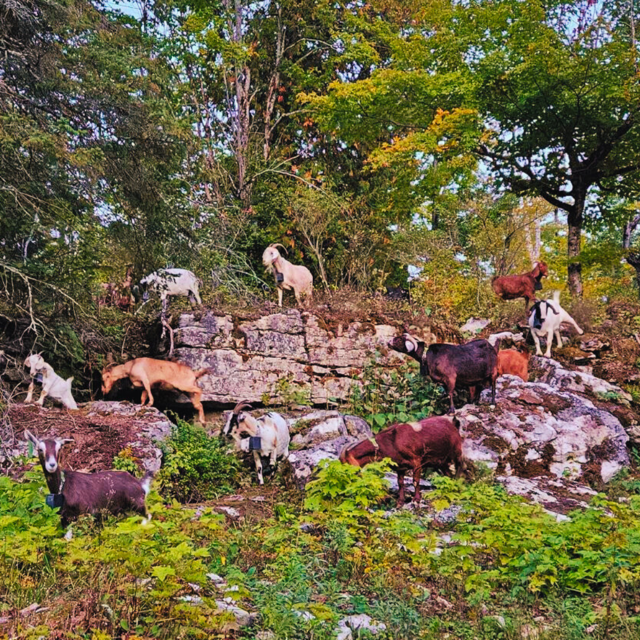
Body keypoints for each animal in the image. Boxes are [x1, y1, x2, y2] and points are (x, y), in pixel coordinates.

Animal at [24, 430, 153, 538]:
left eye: (59, 449)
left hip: (137, 504)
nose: (52, 465)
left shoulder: (90, 513)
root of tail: (139, 484)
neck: (63, 488)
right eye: (40, 449)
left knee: (148, 517)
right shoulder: (65, 518)